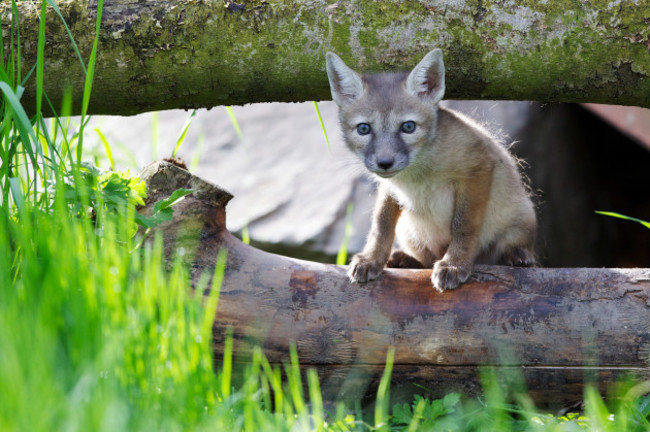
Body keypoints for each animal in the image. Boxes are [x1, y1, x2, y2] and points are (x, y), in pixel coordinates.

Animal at [324, 49, 536, 292]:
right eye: (363, 129)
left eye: (408, 127)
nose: (385, 162)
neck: (416, 176)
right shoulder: (389, 187)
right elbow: (380, 225)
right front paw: (372, 258)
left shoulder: (478, 167)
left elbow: (463, 226)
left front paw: (454, 263)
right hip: (410, 231)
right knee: (425, 261)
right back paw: (404, 259)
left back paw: (517, 256)